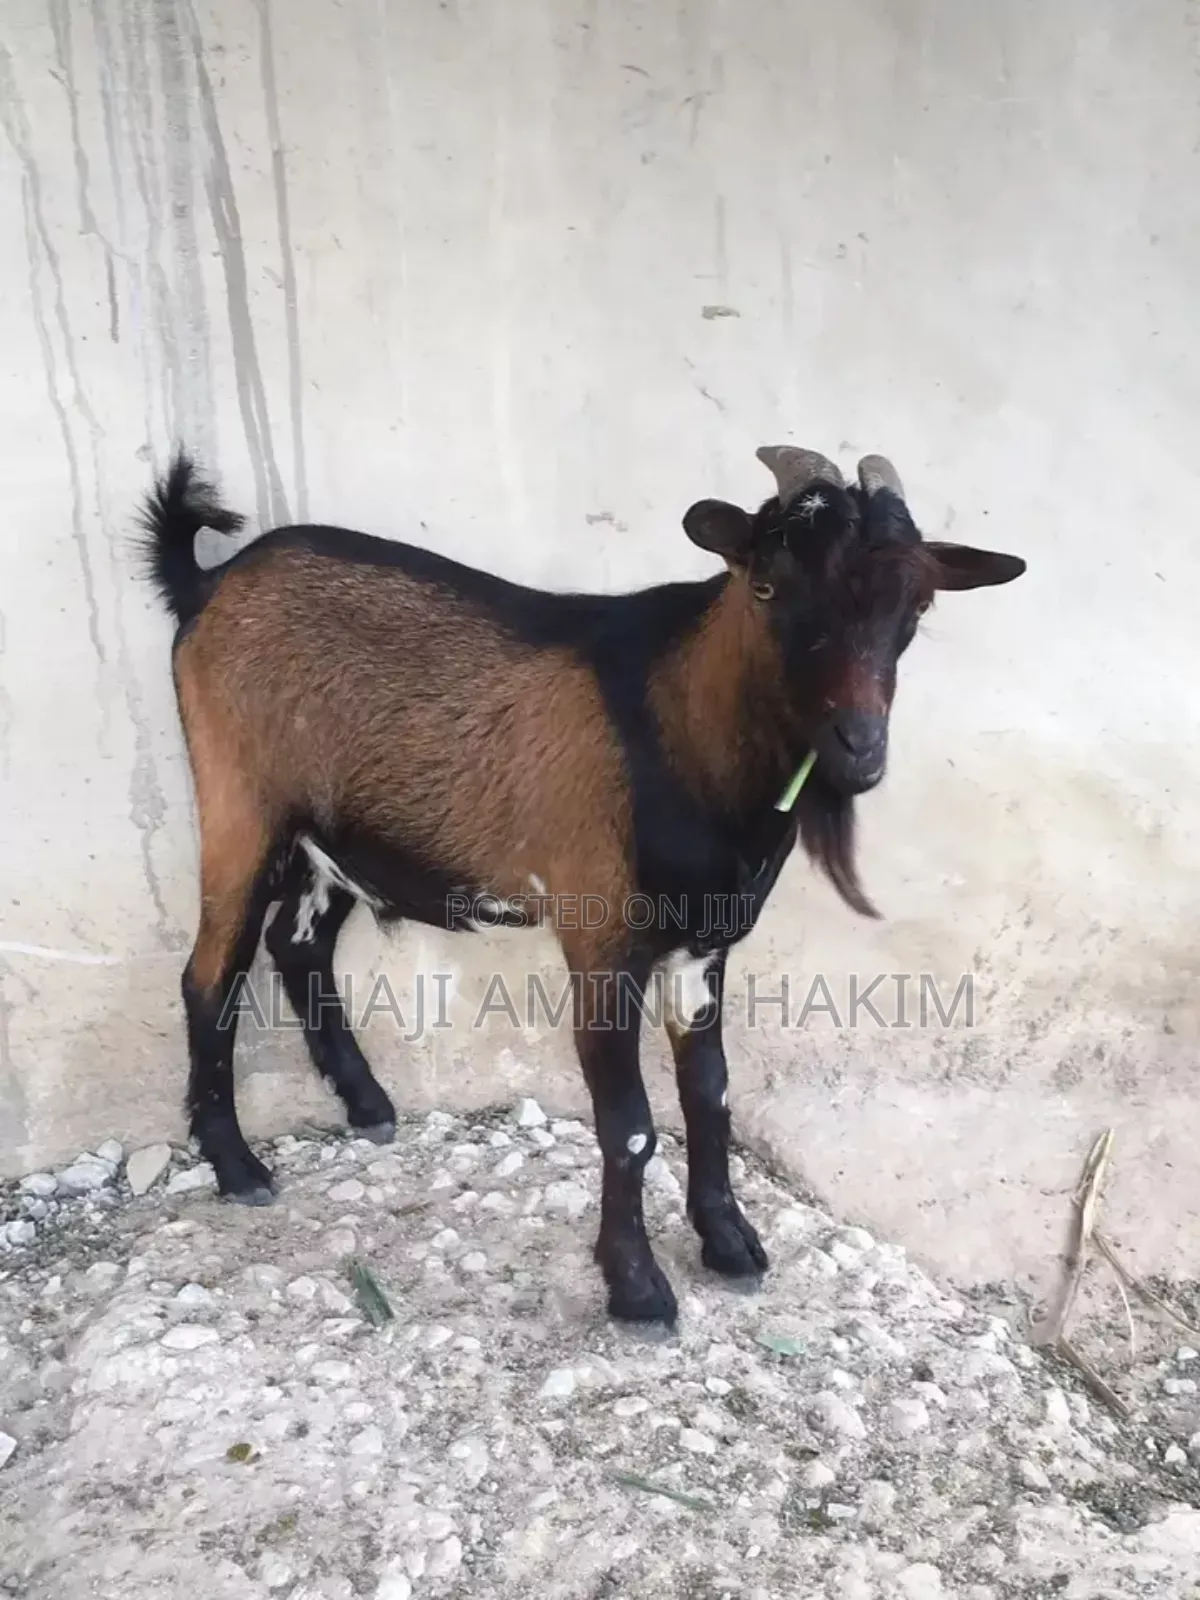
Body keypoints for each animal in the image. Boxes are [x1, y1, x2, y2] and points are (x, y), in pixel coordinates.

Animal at [137, 443, 1025, 1327]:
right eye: (767, 586)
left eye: (916, 604)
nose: (857, 748)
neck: (680, 732)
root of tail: (208, 584)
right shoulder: (602, 938)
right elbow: (630, 1124)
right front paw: (636, 1287)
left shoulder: (704, 943)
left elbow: (710, 1094)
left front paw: (730, 1243)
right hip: (241, 802)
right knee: (209, 976)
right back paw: (239, 1167)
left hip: (331, 836)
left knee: (298, 942)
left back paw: (368, 1106)